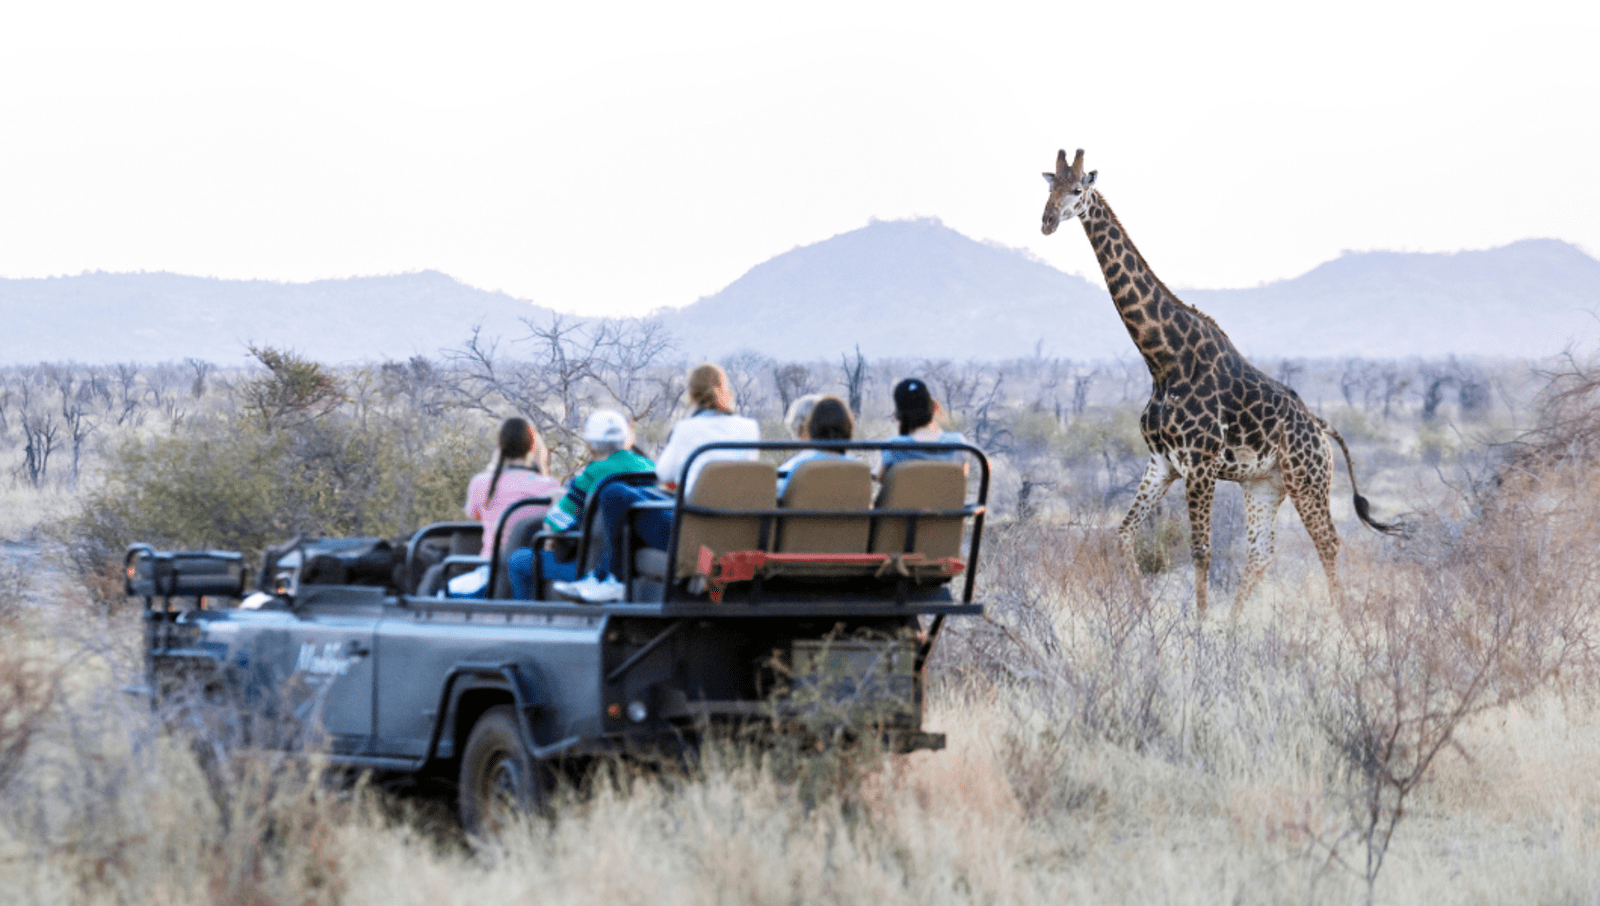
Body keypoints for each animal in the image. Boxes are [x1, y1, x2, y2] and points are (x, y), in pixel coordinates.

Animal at [1036, 151, 1401, 617]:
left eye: (1078, 189)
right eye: (1050, 188)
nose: (1047, 221)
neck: (1162, 360)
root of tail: (1321, 428)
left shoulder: (1200, 463)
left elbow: (1201, 551)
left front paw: (1198, 627)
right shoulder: (1162, 462)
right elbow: (1123, 534)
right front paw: (1147, 615)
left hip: (1308, 479)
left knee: (1329, 543)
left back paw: (1345, 626)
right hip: (1265, 485)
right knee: (1262, 553)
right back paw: (1233, 625)